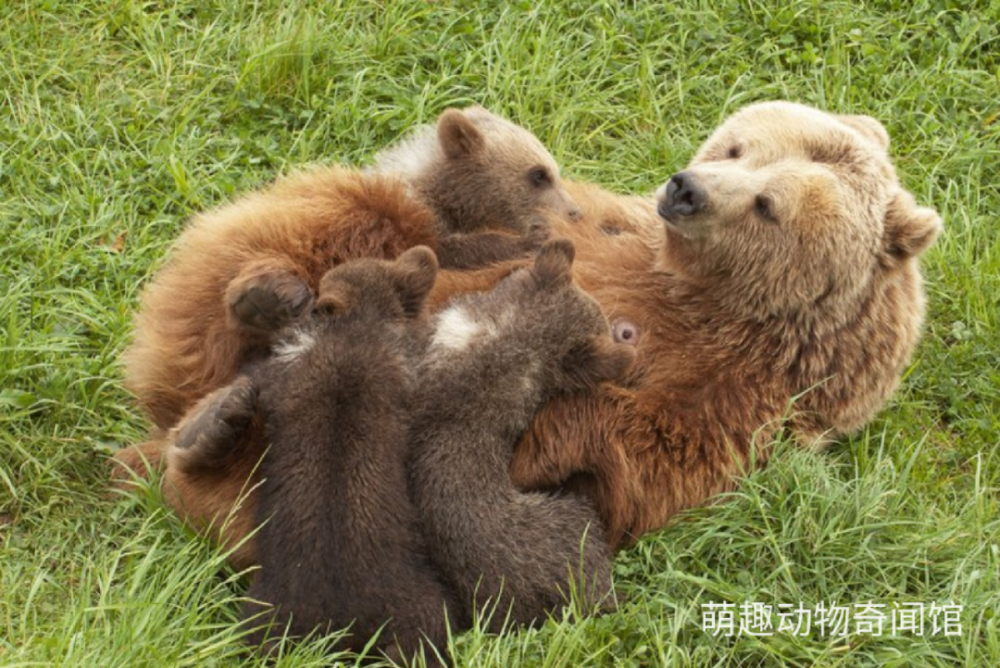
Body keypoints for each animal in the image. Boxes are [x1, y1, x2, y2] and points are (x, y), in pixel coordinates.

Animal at [113, 102, 940, 568]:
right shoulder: (592, 224)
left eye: (770, 203)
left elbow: (609, 441)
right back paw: (262, 309)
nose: (685, 189)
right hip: (281, 239)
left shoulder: (734, 397)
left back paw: (210, 433)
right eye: (739, 147)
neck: (701, 292)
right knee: (342, 219)